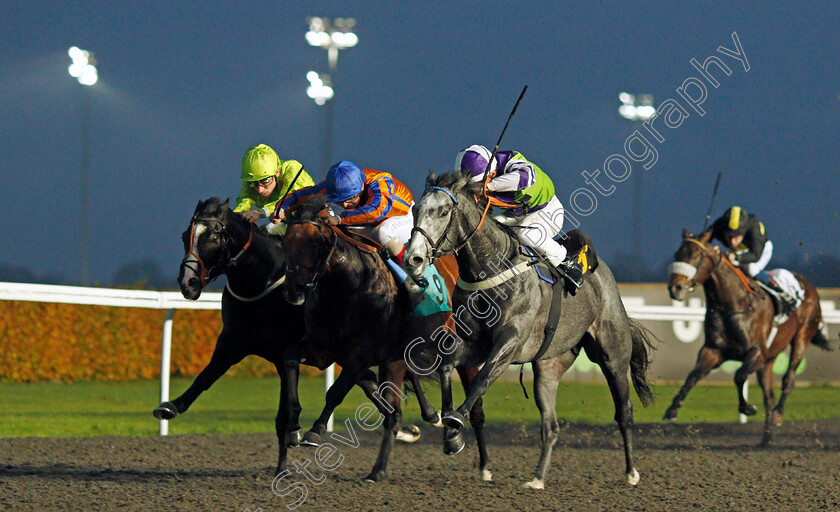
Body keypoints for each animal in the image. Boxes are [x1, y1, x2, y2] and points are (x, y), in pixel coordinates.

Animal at [402, 172, 656, 488]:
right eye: (415, 209)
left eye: (443, 211)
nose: (413, 258)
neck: (491, 268)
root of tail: (603, 274)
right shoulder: (473, 344)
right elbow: (447, 366)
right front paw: (450, 433)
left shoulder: (510, 343)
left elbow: (482, 379)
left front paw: (456, 420)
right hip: (548, 366)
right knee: (551, 425)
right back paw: (537, 478)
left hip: (612, 355)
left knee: (624, 412)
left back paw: (631, 473)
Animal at [668, 229, 832, 444]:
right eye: (677, 254)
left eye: (695, 255)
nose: (674, 288)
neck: (733, 304)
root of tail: (809, 286)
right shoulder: (713, 351)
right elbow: (693, 376)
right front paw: (672, 409)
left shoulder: (757, 353)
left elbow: (739, 376)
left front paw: (747, 408)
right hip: (770, 359)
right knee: (769, 394)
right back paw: (766, 438)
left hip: (802, 337)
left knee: (788, 380)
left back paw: (778, 414)